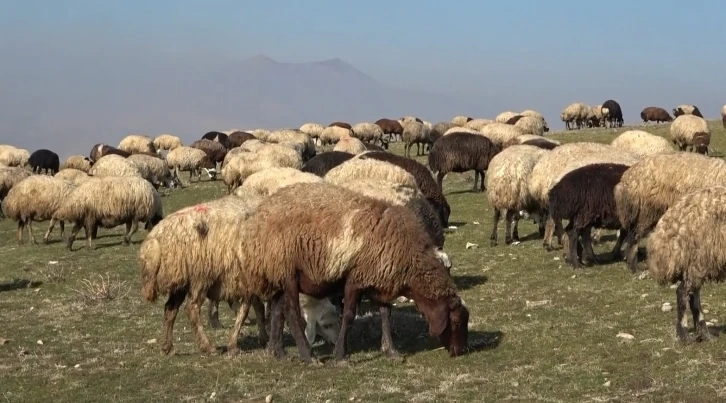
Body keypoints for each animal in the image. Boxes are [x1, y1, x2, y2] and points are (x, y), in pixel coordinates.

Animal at [245, 183, 472, 362]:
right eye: (457, 321)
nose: (461, 351)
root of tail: (260, 215)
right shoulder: (355, 279)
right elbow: (349, 316)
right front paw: (340, 356)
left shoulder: (380, 279)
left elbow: (386, 314)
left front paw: (391, 351)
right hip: (289, 273)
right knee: (292, 314)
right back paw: (308, 357)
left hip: (277, 273)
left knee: (277, 311)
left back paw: (278, 353)